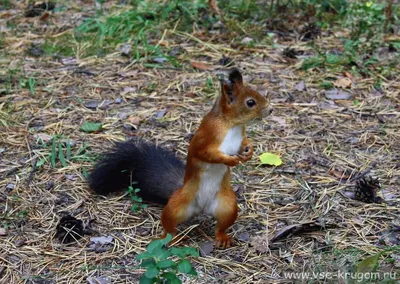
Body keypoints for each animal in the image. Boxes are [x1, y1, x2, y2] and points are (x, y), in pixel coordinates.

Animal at [90, 69, 270, 248]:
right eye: (250, 102)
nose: (270, 109)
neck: (232, 125)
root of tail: (201, 208)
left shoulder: (240, 137)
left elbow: (244, 143)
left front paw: (249, 151)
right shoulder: (206, 137)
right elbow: (206, 154)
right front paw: (230, 160)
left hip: (228, 205)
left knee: (221, 226)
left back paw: (223, 238)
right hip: (177, 205)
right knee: (169, 223)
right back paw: (173, 238)